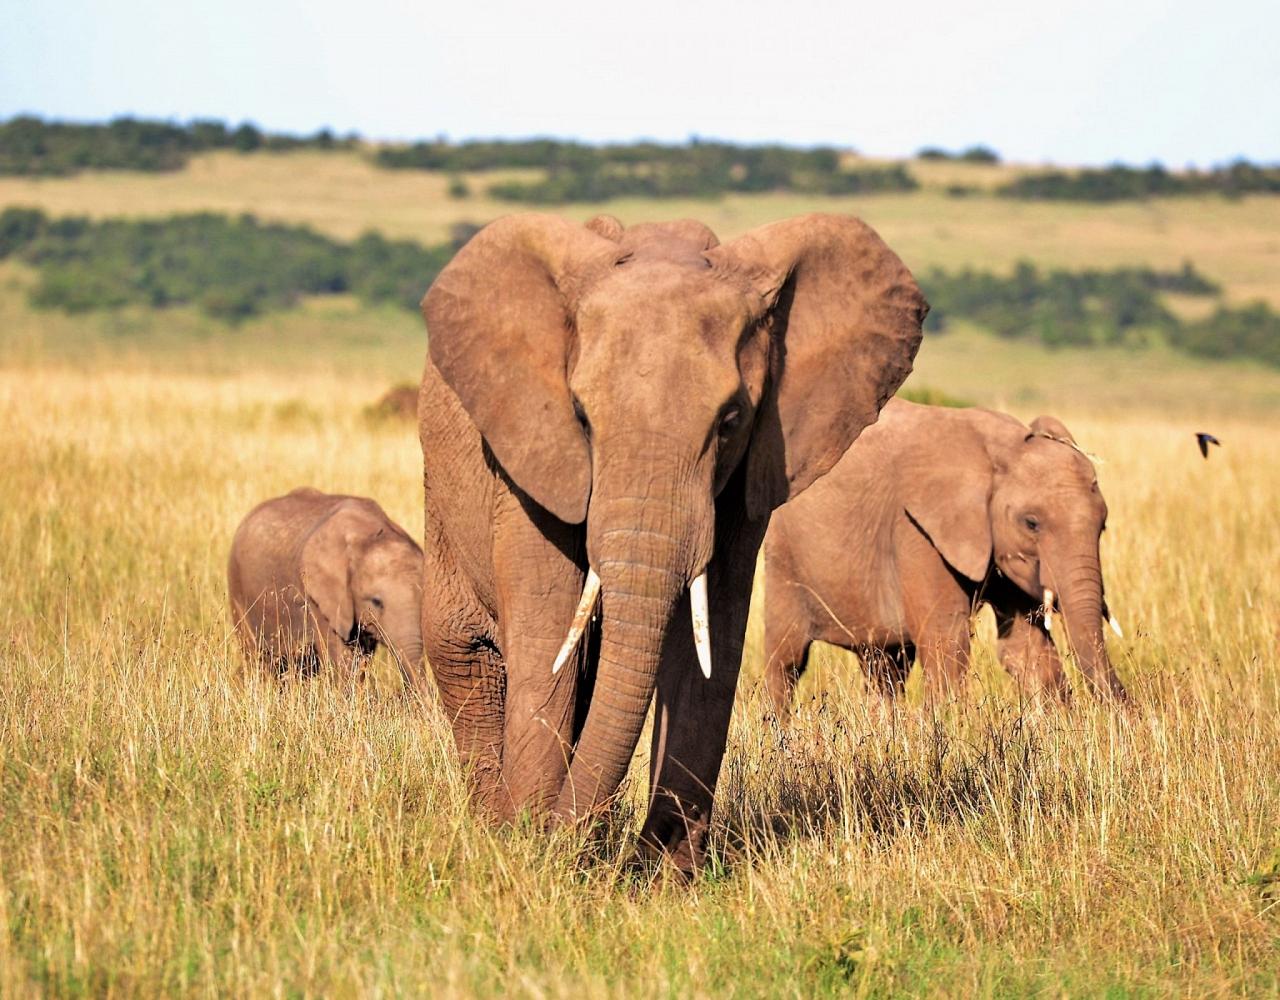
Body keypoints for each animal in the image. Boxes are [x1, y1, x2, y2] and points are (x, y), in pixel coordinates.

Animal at [419, 212, 931, 875]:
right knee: (467, 654)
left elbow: (710, 639)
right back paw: (494, 825)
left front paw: (664, 873)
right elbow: (547, 628)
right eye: (580, 416)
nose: (560, 837)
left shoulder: (748, 475)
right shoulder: (530, 456)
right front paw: (529, 848)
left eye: (731, 420)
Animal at [757, 394, 1131, 711]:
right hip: (783, 554)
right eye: (1032, 523)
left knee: (885, 666)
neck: (1001, 448)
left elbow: (1025, 648)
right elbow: (947, 642)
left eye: (1103, 526)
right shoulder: (916, 530)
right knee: (787, 660)